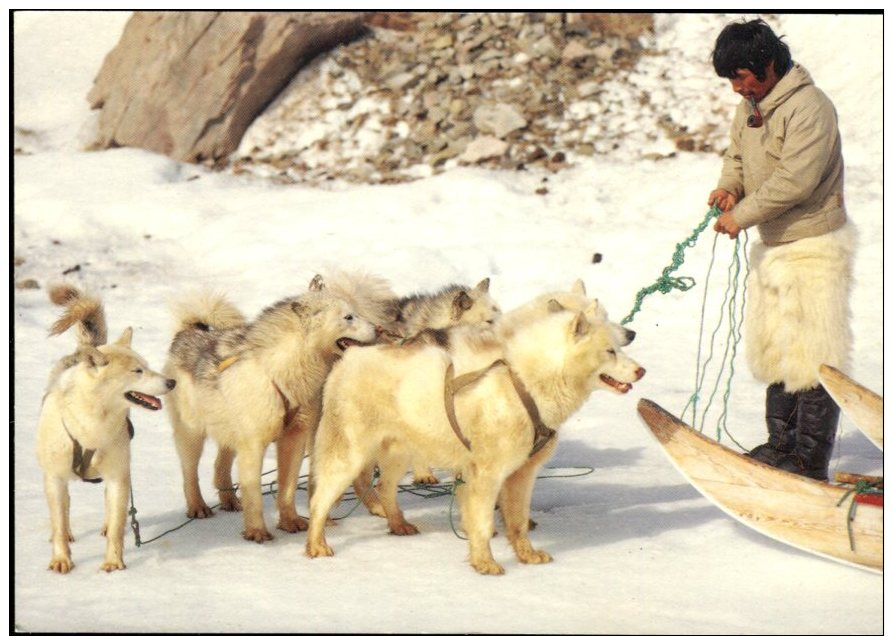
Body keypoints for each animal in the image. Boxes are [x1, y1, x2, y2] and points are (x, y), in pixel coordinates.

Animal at [37, 286, 176, 572]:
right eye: (137, 371)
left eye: (147, 367)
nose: (171, 382)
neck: (92, 425)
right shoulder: (54, 479)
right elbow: (59, 521)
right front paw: (61, 559)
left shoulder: (117, 477)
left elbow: (116, 525)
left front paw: (113, 562)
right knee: (64, 510)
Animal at [164, 274, 376, 540]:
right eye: (348, 317)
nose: (379, 329)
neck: (281, 373)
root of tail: (187, 331)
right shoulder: (254, 445)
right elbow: (253, 493)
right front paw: (257, 533)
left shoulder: (294, 439)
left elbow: (287, 488)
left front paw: (290, 522)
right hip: (192, 436)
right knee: (189, 474)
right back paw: (197, 507)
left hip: (230, 434)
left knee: (220, 465)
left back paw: (229, 500)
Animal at [306, 294, 640, 576]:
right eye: (610, 351)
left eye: (619, 348)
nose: (641, 371)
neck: (524, 382)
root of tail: (349, 359)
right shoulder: (486, 475)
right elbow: (481, 523)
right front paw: (485, 563)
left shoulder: (521, 473)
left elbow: (517, 522)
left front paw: (526, 554)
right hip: (348, 455)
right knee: (320, 500)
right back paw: (316, 544)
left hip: (400, 452)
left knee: (385, 488)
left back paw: (398, 524)